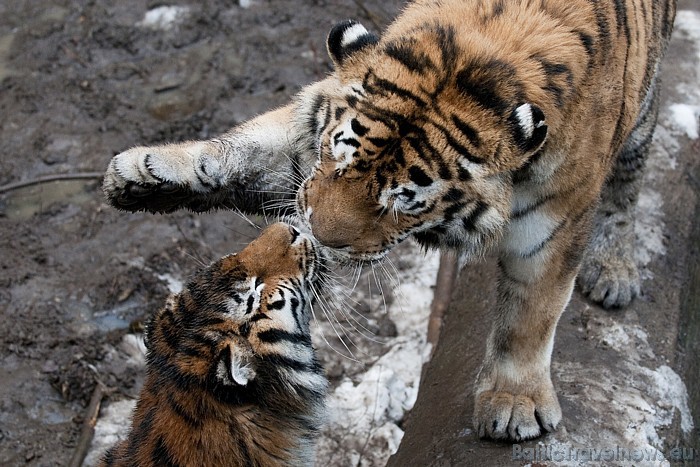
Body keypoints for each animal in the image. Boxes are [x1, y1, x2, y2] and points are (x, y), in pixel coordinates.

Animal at [101, 0, 676, 442]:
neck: (481, 52)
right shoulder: (307, 149)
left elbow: (529, 316)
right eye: (336, 157)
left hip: (642, 111)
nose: (319, 237)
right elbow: (242, 151)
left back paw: (615, 271)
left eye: (403, 200)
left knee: (628, 187)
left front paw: (516, 403)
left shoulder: (555, 217)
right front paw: (141, 173)